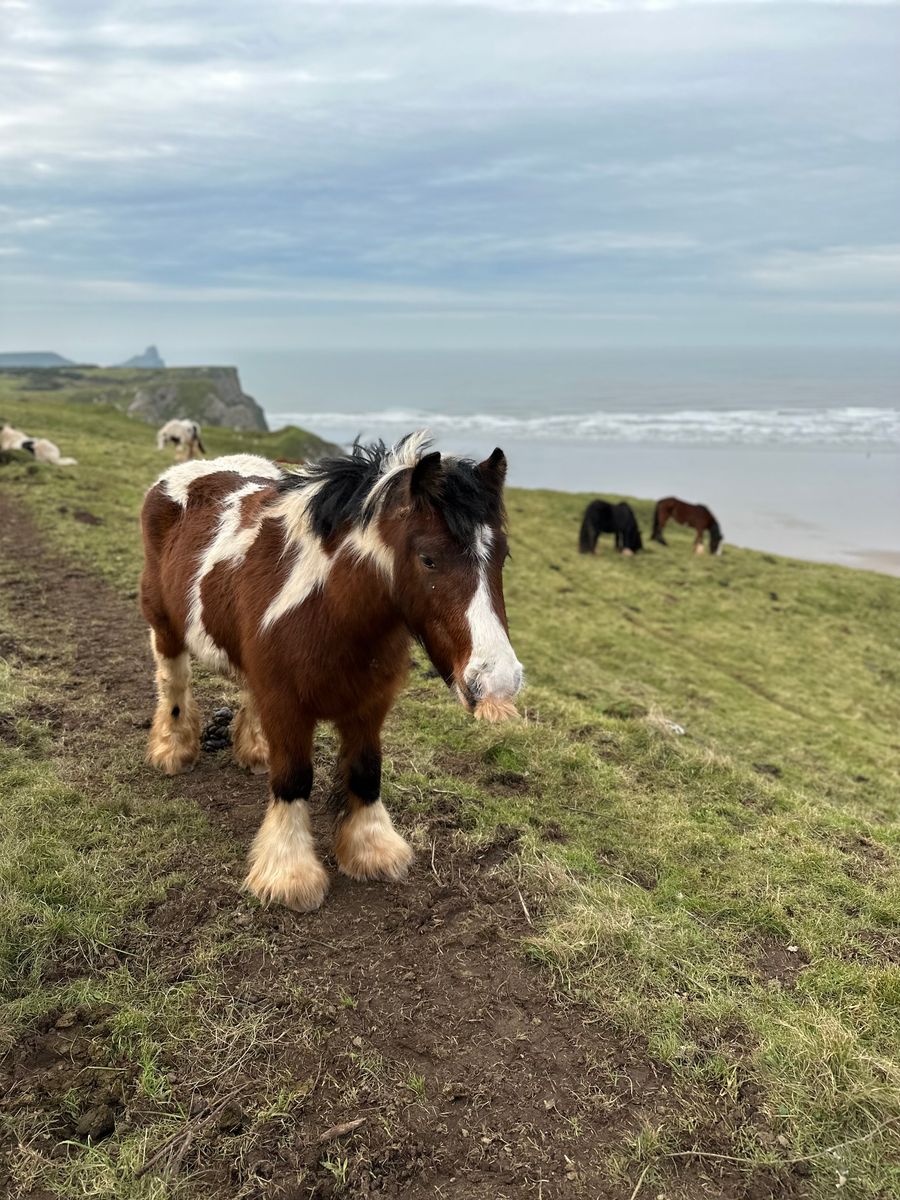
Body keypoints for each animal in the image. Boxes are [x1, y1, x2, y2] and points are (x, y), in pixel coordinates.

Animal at [139, 432, 523, 912]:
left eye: (502, 556)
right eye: (429, 559)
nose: (499, 680)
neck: (327, 610)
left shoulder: (369, 703)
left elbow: (365, 771)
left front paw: (372, 850)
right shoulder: (286, 704)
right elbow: (294, 778)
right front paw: (289, 874)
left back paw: (254, 750)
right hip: (163, 623)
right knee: (173, 683)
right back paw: (173, 750)